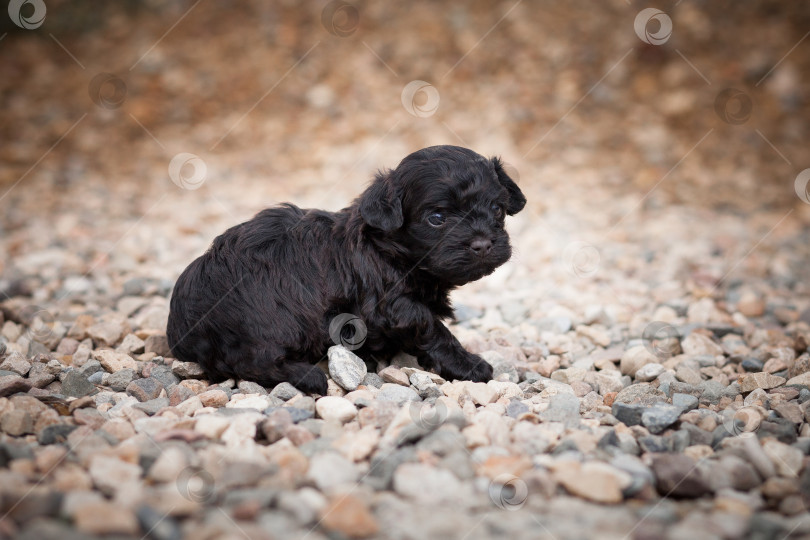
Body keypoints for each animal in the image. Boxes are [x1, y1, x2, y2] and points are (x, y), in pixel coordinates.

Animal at [167, 146, 528, 394]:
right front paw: (469, 364)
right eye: (436, 218)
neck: (388, 249)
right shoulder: (393, 305)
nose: (483, 244)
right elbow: (433, 330)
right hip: (272, 320)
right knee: (252, 360)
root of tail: (180, 329)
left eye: (497, 209)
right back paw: (309, 376)